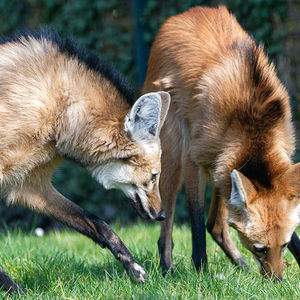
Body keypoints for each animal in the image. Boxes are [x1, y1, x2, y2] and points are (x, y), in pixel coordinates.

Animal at [0, 28, 170, 292]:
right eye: (154, 176)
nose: (161, 214)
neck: (60, 109)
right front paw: (12, 288)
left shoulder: (27, 184)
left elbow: (98, 223)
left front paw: (134, 268)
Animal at [143, 5, 300, 280]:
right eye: (259, 248)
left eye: (284, 245)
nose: (277, 281)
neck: (252, 126)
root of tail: (185, 14)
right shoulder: (195, 159)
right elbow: (195, 221)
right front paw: (201, 273)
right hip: (175, 155)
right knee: (167, 219)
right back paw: (167, 268)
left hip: (221, 165)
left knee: (215, 224)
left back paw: (238, 262)